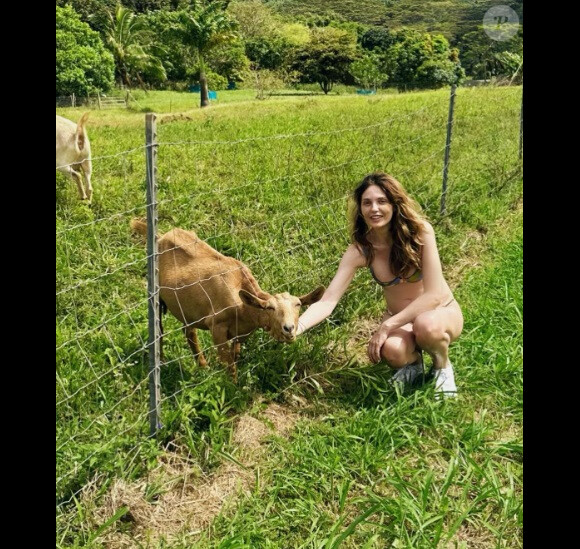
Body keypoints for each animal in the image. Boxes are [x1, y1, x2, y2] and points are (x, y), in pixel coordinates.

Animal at [130, 218, 326, 382]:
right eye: (270, 308)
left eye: (298, 305)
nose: (289, 328)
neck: (244, 308)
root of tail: (161, 236)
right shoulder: (217, 326)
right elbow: (229, 364)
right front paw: (233, 387)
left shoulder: (240, 333)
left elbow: (235, 355)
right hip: (155, 294)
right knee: (160, 330)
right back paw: (163, 362)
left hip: (187, 307)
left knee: (189, 331)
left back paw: (202, 366)